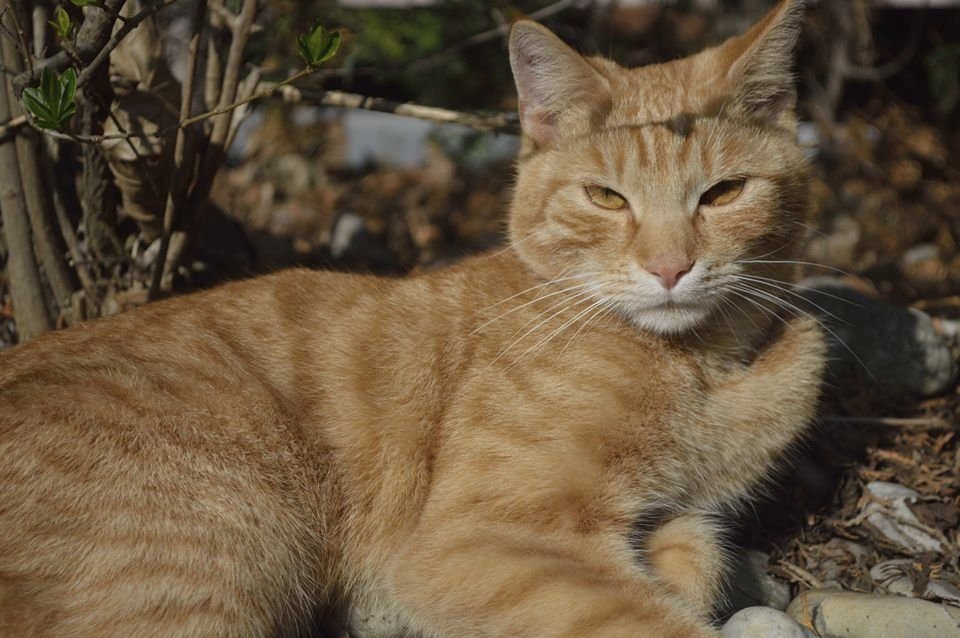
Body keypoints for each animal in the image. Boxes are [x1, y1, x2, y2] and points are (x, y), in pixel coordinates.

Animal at [0, 2, 824, 636]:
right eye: (606, 198)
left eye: (722, 194)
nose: (669, 267)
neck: (703, 365)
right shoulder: (480, 542)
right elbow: (645, 615)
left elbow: (698, 551)